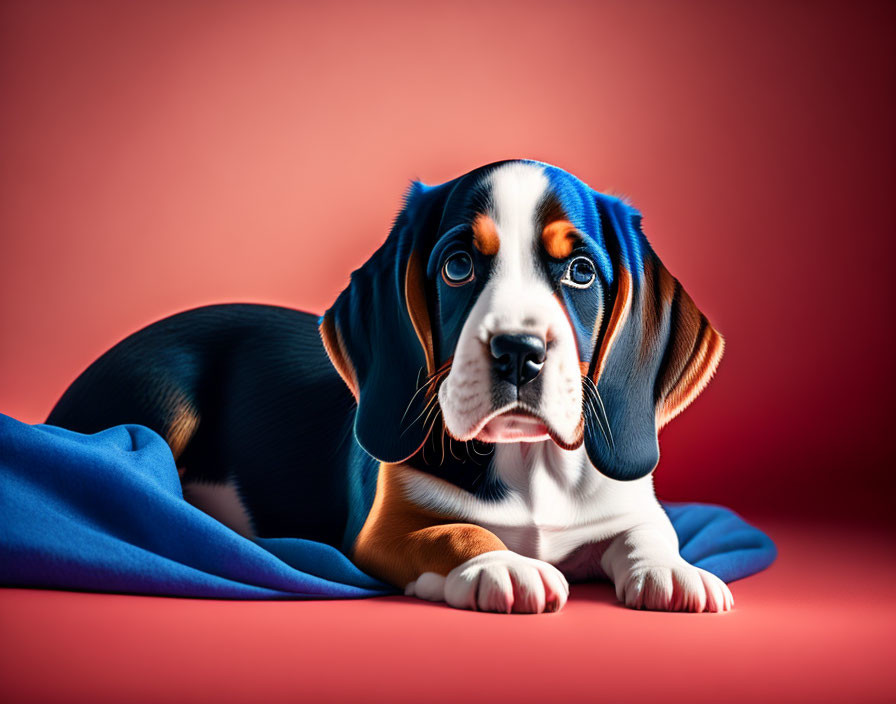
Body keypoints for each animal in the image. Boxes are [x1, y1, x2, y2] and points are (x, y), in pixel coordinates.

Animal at [49, 160, 732, 612]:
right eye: (458, 266)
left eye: (582, 272)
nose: (518, 352)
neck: (528, 465)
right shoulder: (382, 530)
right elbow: (456, 531)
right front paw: (504, 564)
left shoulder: (624, 504)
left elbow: (652, 528)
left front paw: (672, 570)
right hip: (163, 394)